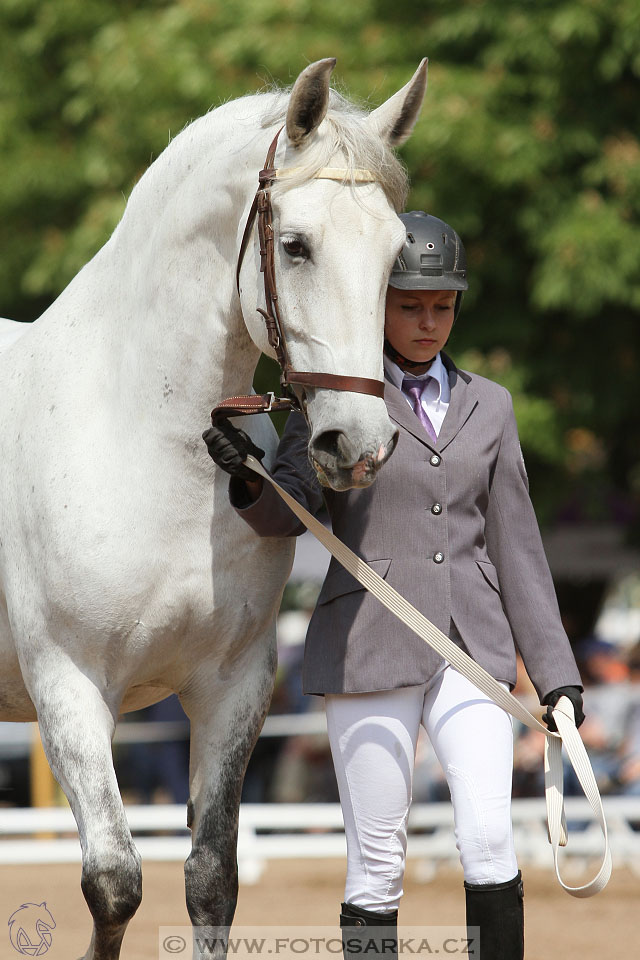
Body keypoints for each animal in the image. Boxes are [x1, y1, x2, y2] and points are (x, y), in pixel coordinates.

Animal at [1, 62, 430, 960]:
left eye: (393, 253)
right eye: (295, 245)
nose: (359, 443)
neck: (140, 431)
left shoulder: (234, 687)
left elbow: (210, 878)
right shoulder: (68, 684)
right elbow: (114, 882)